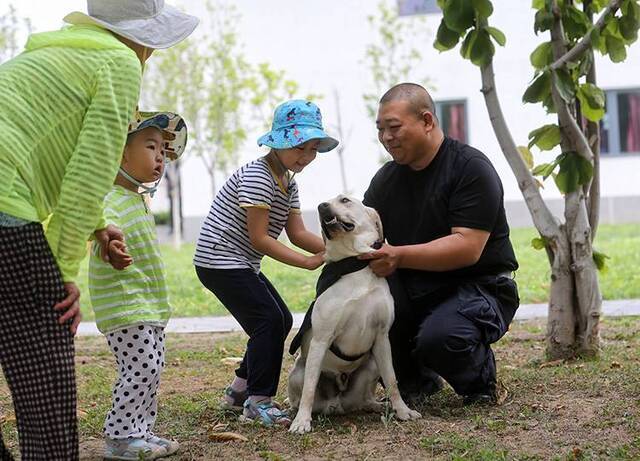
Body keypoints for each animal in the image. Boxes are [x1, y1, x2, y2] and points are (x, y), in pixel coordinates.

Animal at [288, 196, 420, 434]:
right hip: (298, 372)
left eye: (344, 200)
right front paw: (302, 422)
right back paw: (295, 411)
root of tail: (337, 404)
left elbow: (392, 381)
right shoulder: (321, 339)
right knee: (302, 393)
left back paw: (375, 405)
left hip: (373, 364)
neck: (354, 261)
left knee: (363, 399)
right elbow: (309, 389)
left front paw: (403, 411)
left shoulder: (382, 337)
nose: (321, 206)